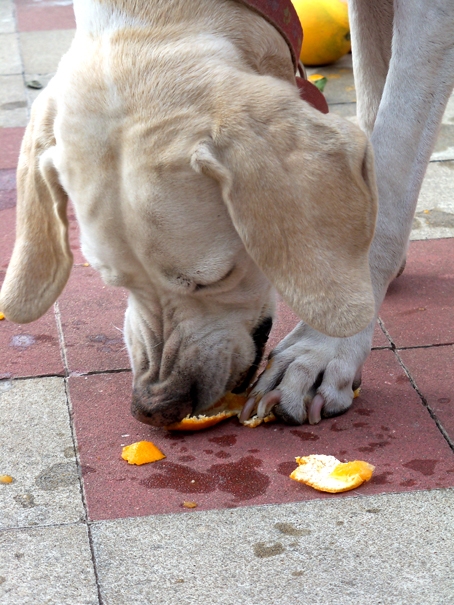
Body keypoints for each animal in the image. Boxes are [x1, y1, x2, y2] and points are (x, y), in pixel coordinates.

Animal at [0, 0, 450, 424]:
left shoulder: (430, 19)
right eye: (115, 282)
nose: (153, 407)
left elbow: (391, 162)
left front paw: (325, 348)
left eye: (215, 278)